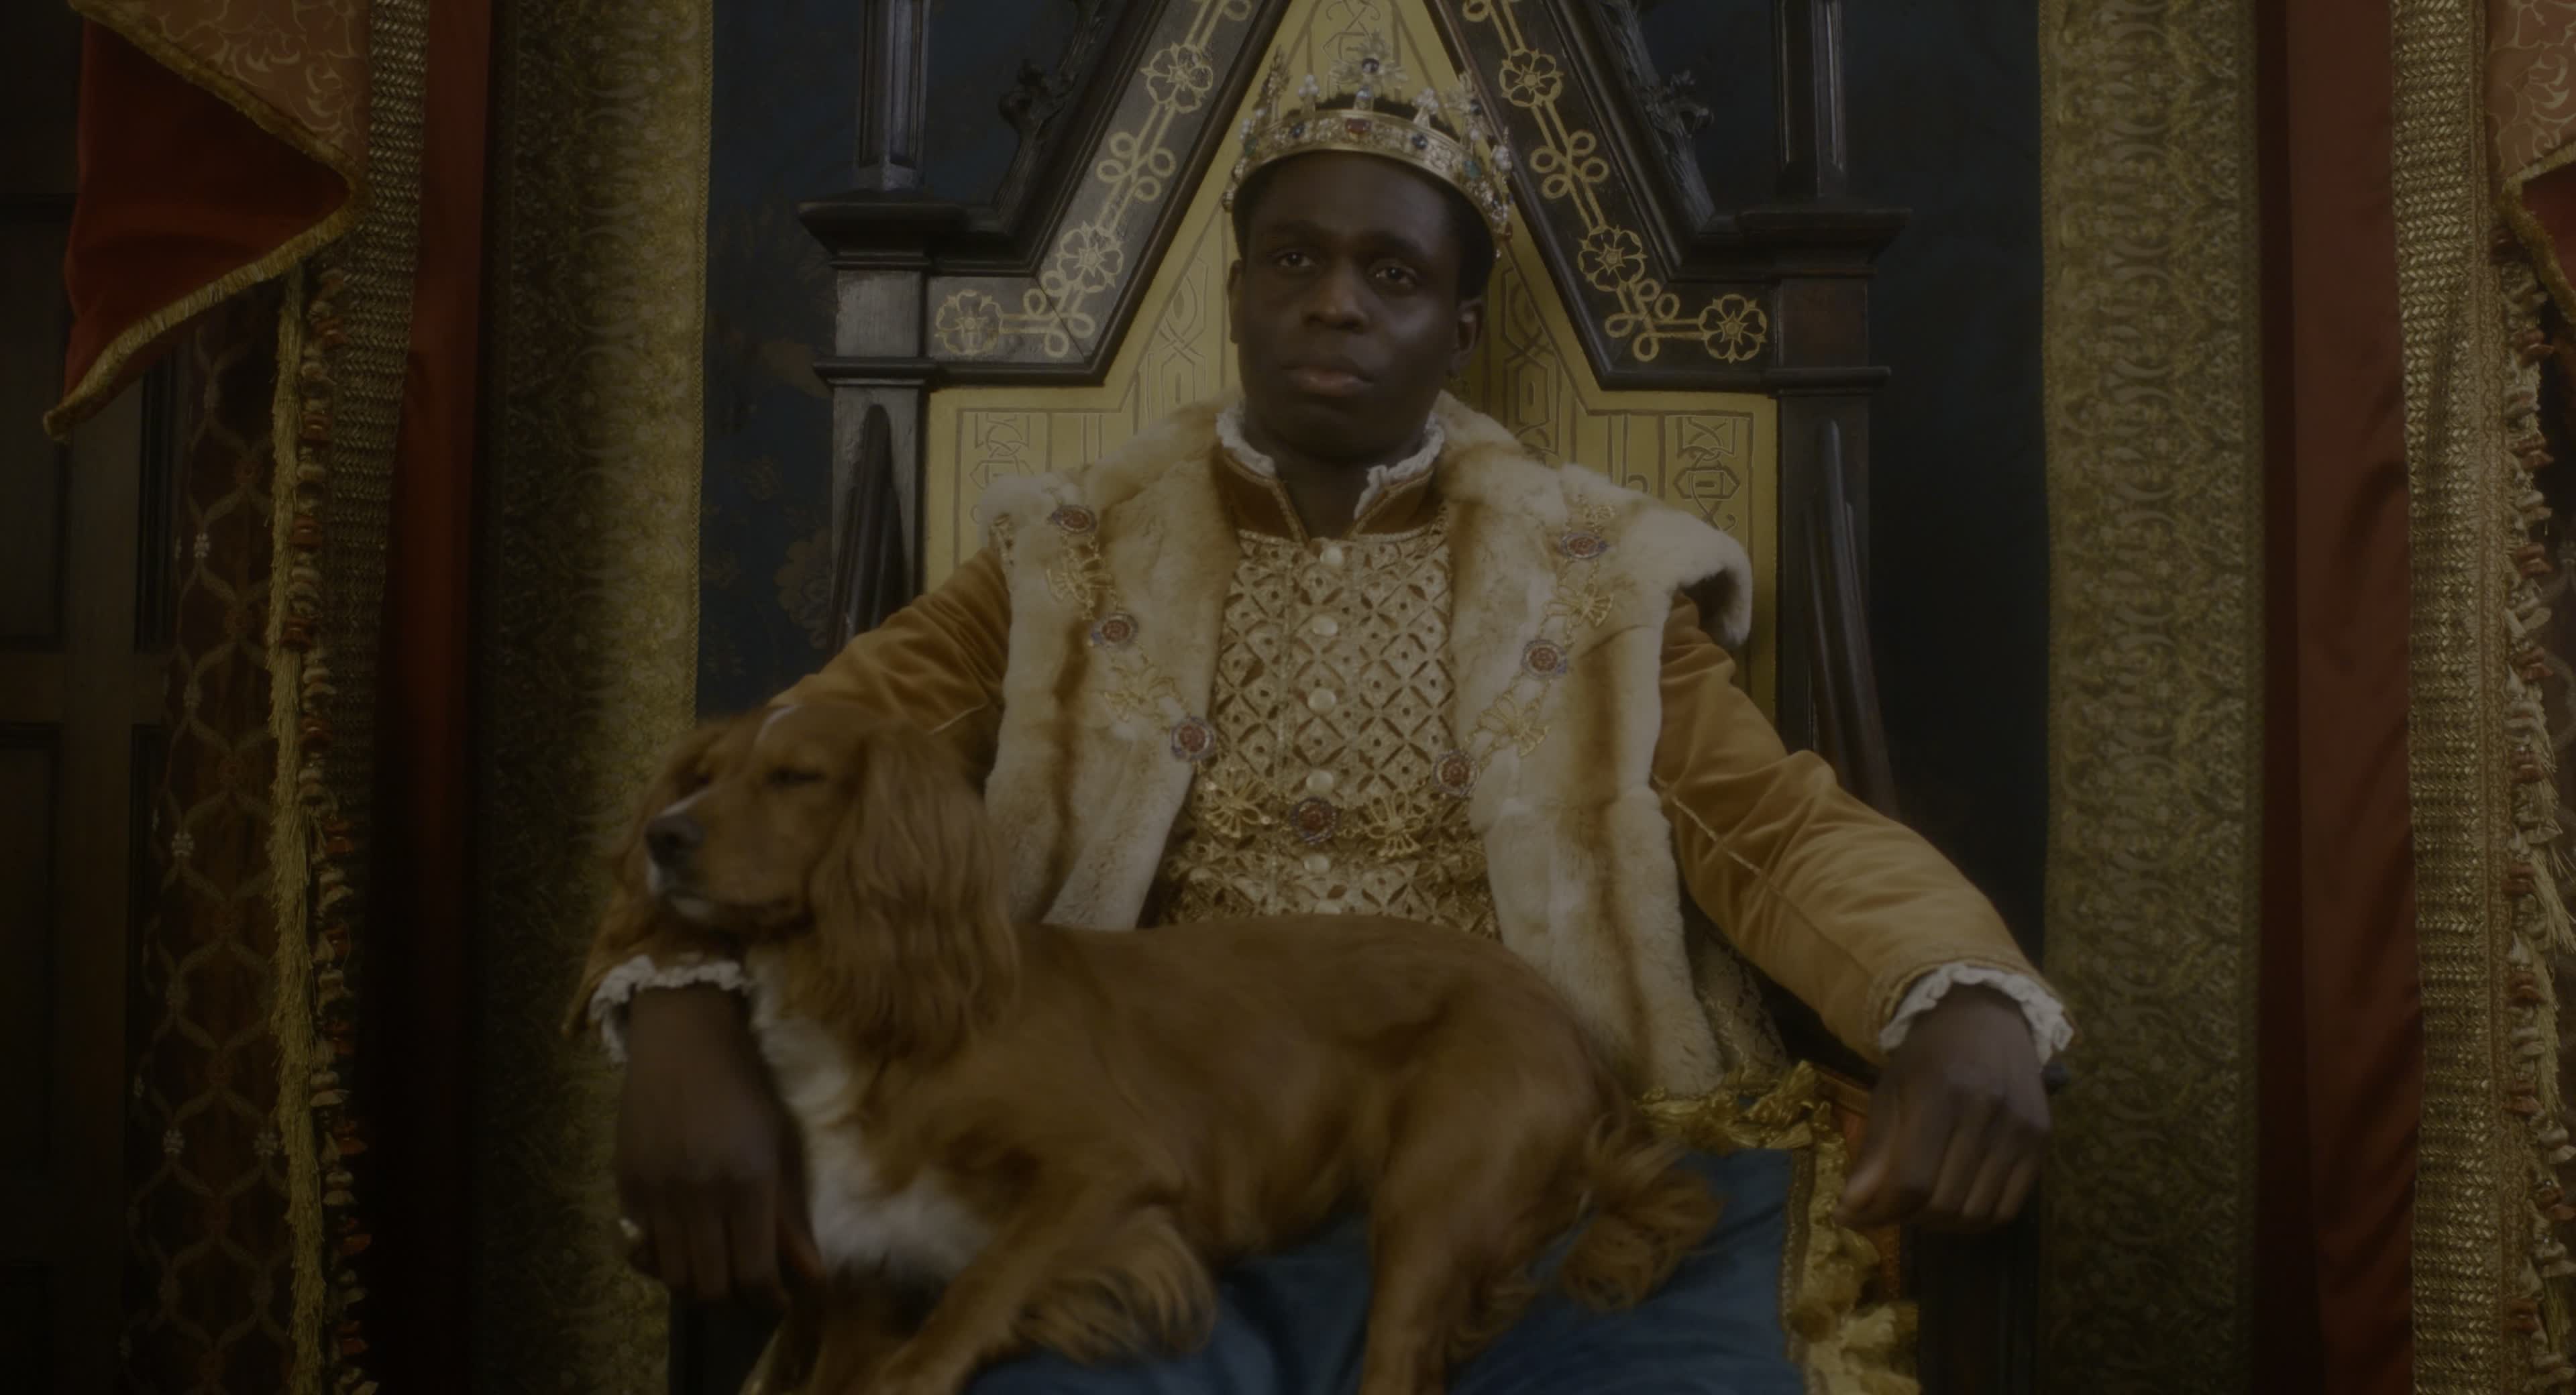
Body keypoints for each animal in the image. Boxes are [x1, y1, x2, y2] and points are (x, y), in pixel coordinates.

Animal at [574, 703, 1721, 1395]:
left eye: (796, 778)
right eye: (700, 774)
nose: (663, 837)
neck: (873, 1019)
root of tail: (1573, 1030)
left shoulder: (1114, 1167)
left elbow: (987, 1277)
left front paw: (924, 1364)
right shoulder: (856, 1274)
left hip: (1433, 1195)